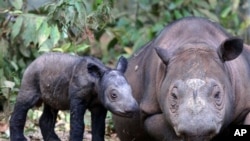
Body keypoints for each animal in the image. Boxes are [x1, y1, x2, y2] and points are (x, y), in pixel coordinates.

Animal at [9, 53, 139, 141]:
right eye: (113, 95)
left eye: (131, 90)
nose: (133, 109)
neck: (97, 80)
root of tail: (33, 61)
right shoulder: (78, 98)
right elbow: (78, 125)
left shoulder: (99, 103)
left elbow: (99, 127)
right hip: (31, 75)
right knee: (25, 103)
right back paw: (19, 139)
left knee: (51, 107)